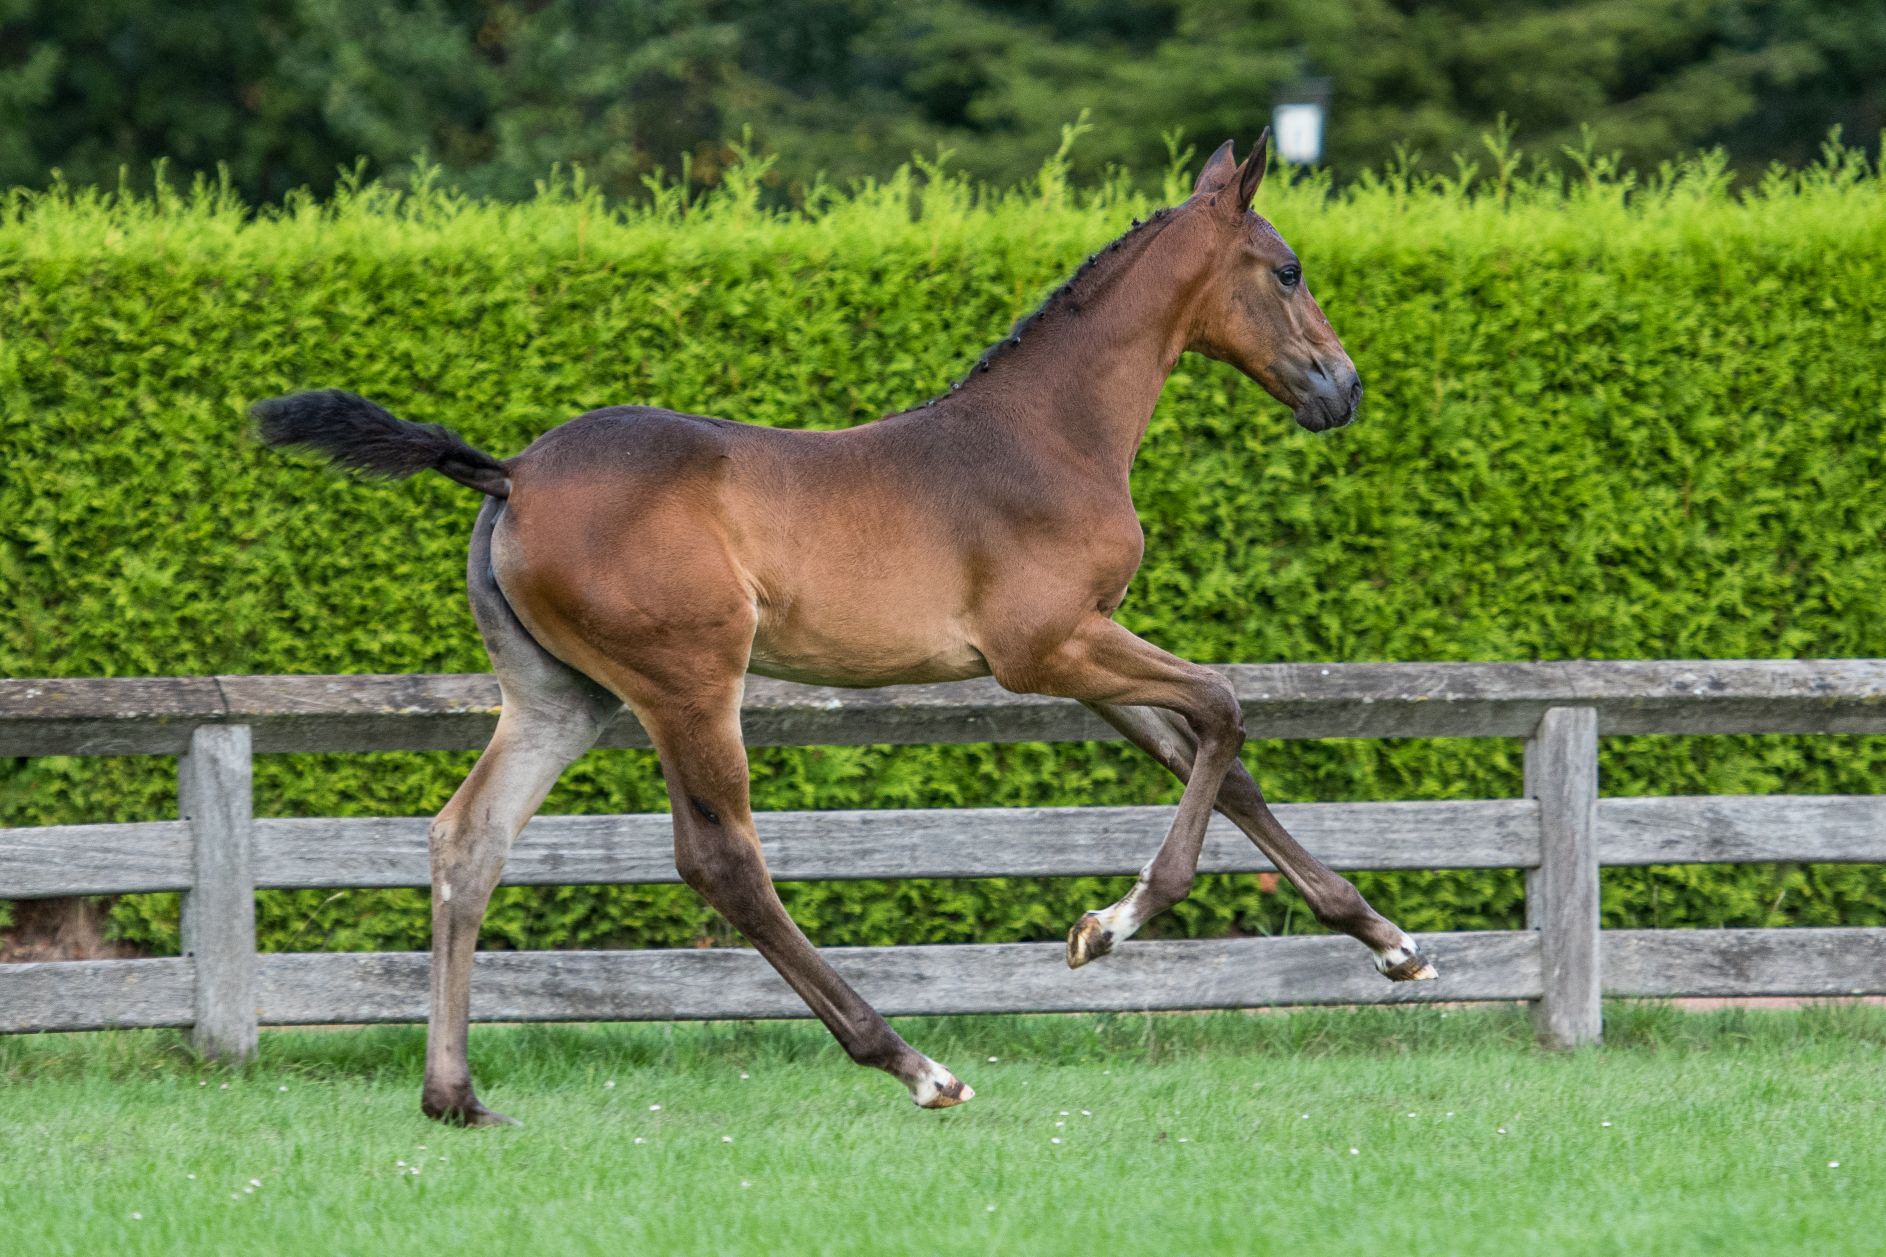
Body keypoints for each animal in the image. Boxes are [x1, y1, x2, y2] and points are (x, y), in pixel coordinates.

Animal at [256, 131, 1434, 1127]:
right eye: (1287, 269)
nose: (1342, 389)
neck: (1049, 433)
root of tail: (508, 474)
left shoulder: (1082, 649)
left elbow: (1221, 767)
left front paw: (1391, 944)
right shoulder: (1045, 648)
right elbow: (1226, 712)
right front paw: (1111, 925)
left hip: (561, 697)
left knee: (469, 840)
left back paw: (454, 1096)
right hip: (688, 683)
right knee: (719, 863)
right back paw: (914, 1063)